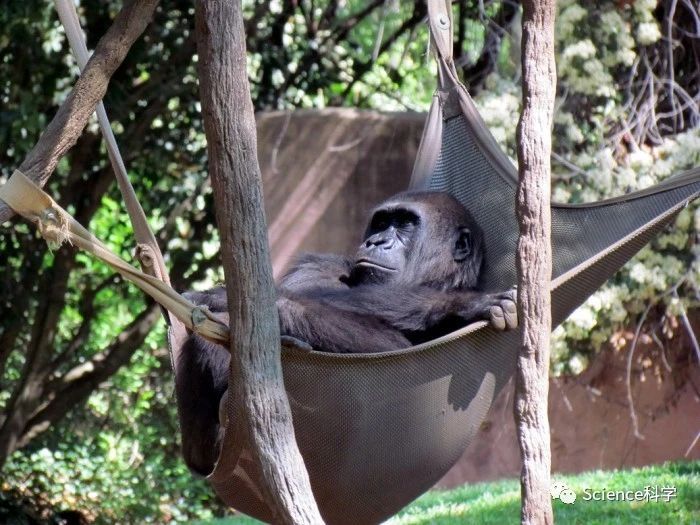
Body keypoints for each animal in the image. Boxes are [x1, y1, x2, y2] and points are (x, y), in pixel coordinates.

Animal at [176, 190, 516, 472]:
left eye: (406, 223)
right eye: (381, 223)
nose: (377, 242)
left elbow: (393, 346)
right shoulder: (321, 265)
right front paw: (462, 303)